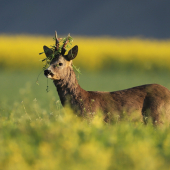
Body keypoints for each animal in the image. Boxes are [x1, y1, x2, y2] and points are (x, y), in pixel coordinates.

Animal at [42, 31, 170, 125]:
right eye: (49, 61)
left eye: (60, 63)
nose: (47, 71)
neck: (83, 100)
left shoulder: (92, 121)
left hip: (159, 118)